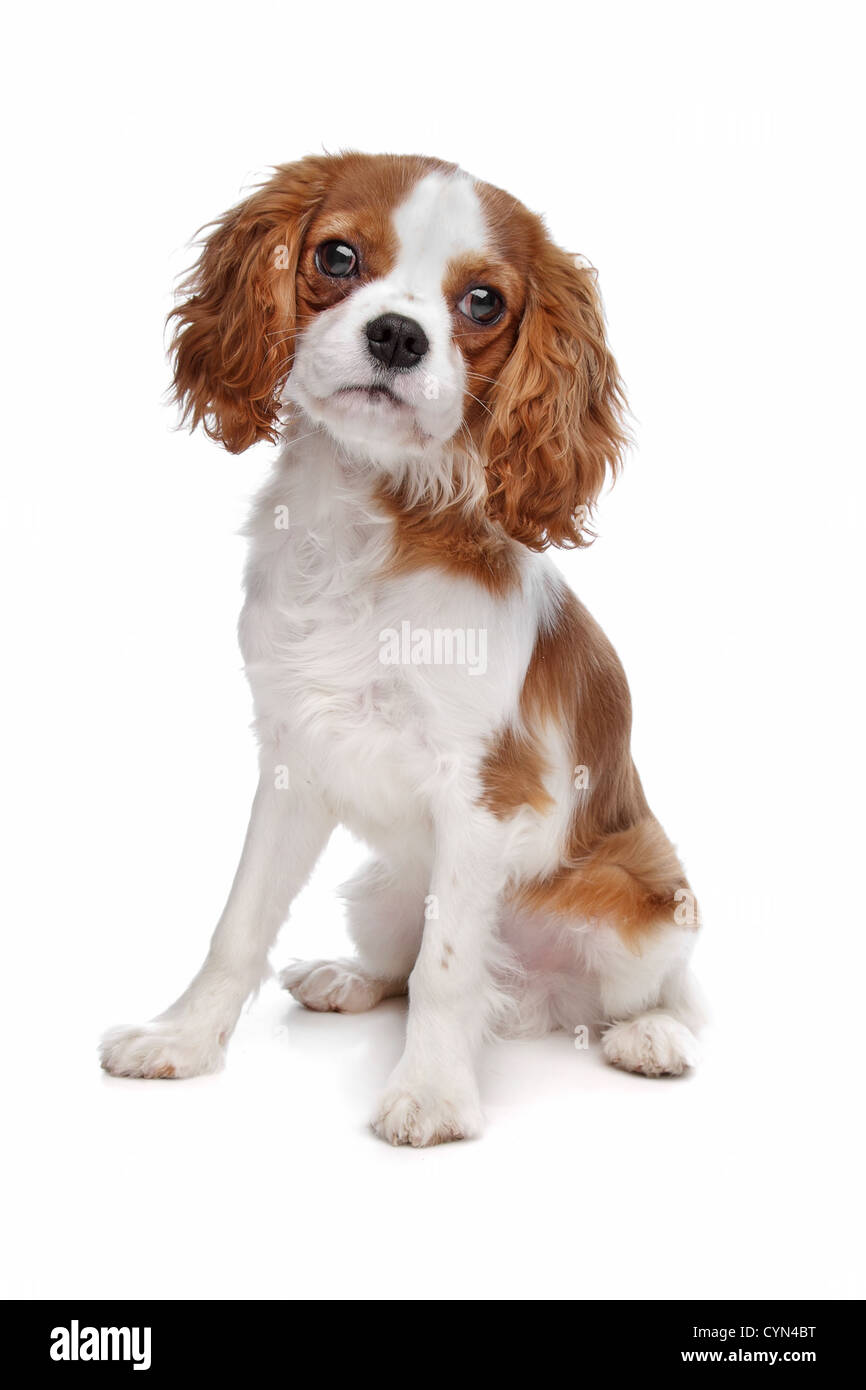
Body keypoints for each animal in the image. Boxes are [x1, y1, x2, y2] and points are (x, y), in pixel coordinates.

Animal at [100, 152, 706, 1145]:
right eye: (338, 256)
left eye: (484, 302)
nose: (396, 335)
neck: (371, 514)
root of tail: (539, 1005)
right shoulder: (293, 760)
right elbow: (240, 922)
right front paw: (182, 1040)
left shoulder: (484, 793)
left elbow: (449, 970)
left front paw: (431, 1095)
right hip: (382, 889)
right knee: (397, 961)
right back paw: (346, 980)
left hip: (636, 903)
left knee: (665, 990)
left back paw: (649, 1037)